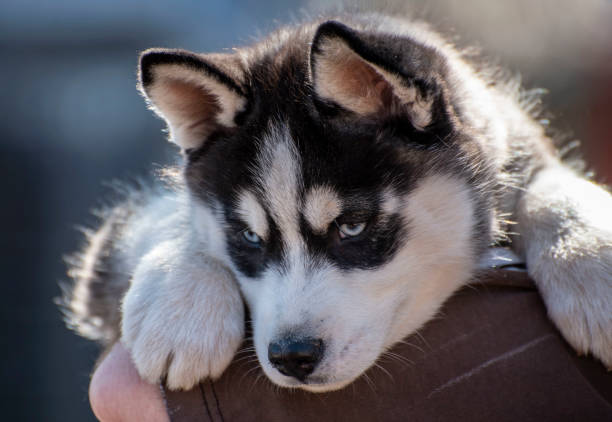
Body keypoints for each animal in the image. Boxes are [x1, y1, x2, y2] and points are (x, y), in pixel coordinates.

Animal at [63, 15, 612, 392]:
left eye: (351, 227)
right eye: (249, 237)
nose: (292, 357)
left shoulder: (517, 143)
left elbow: (555, 186)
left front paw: (591, 256)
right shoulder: (109, 253)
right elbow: (172, 216)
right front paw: (181, 306)